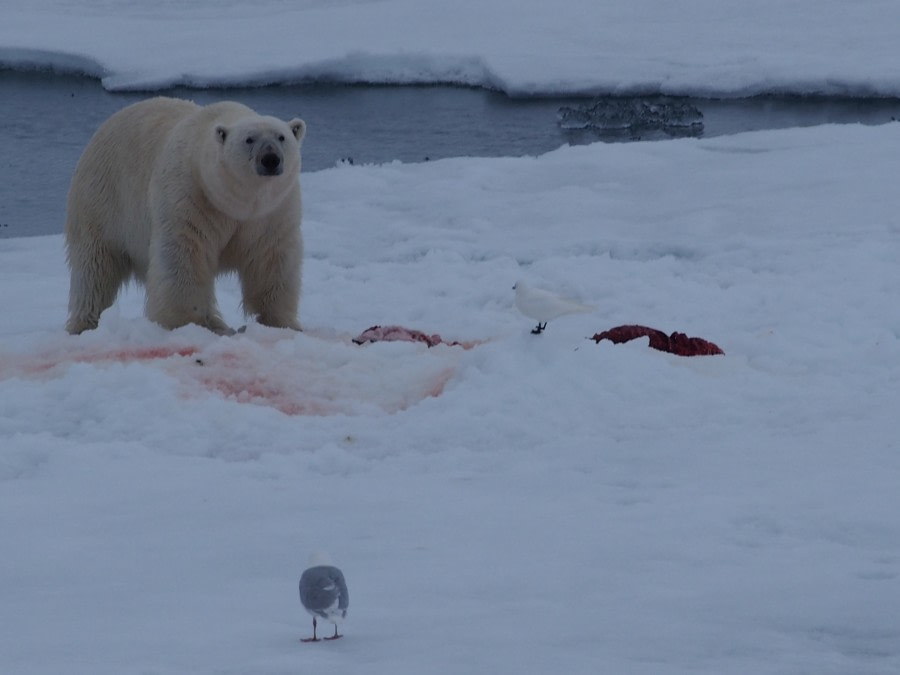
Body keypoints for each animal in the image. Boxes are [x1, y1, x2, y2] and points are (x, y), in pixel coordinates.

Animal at [65, 97, 308, 336]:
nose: (270, 159)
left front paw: (281, 323)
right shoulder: (190, 197)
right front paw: (186, 323)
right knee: (95, 267)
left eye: (281, 136)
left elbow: (271, 259)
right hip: (102, 201)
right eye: (249, 139)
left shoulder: (272, 212)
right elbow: (184, 256)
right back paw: (84, 323)